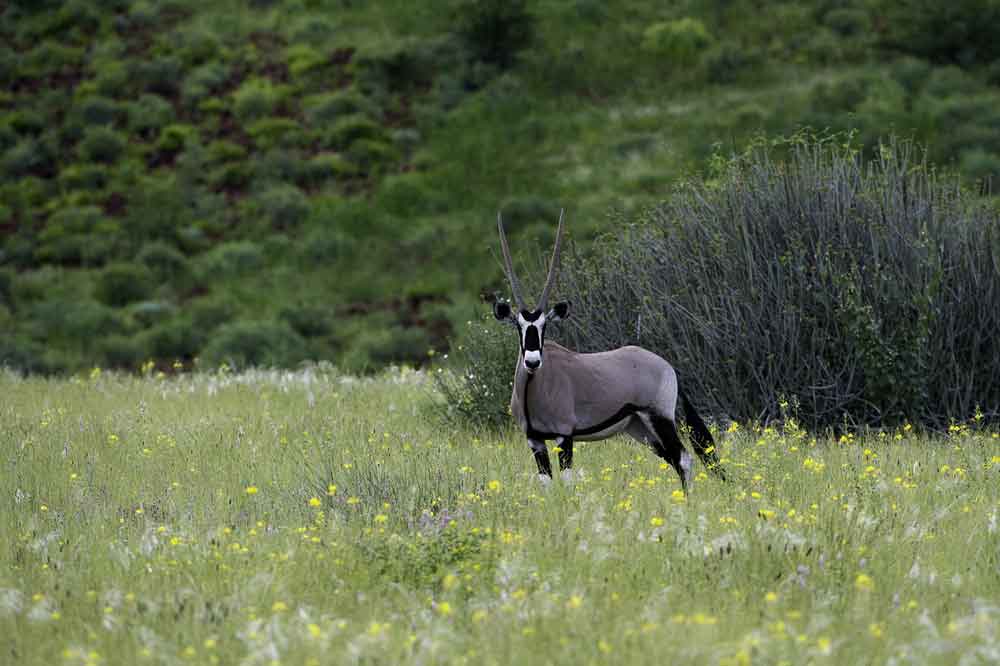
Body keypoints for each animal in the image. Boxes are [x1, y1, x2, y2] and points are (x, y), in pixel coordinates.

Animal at [494, 210, 724, 490]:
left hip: (659, 417)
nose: (532, 361)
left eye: (544, 326)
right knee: (673, 458)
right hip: (638, 427)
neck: (533, 387)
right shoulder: (535, 440)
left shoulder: (564, 436)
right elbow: (546, 483)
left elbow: (568, 482)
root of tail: (667, 366)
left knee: (683, 458)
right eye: (519, 326)